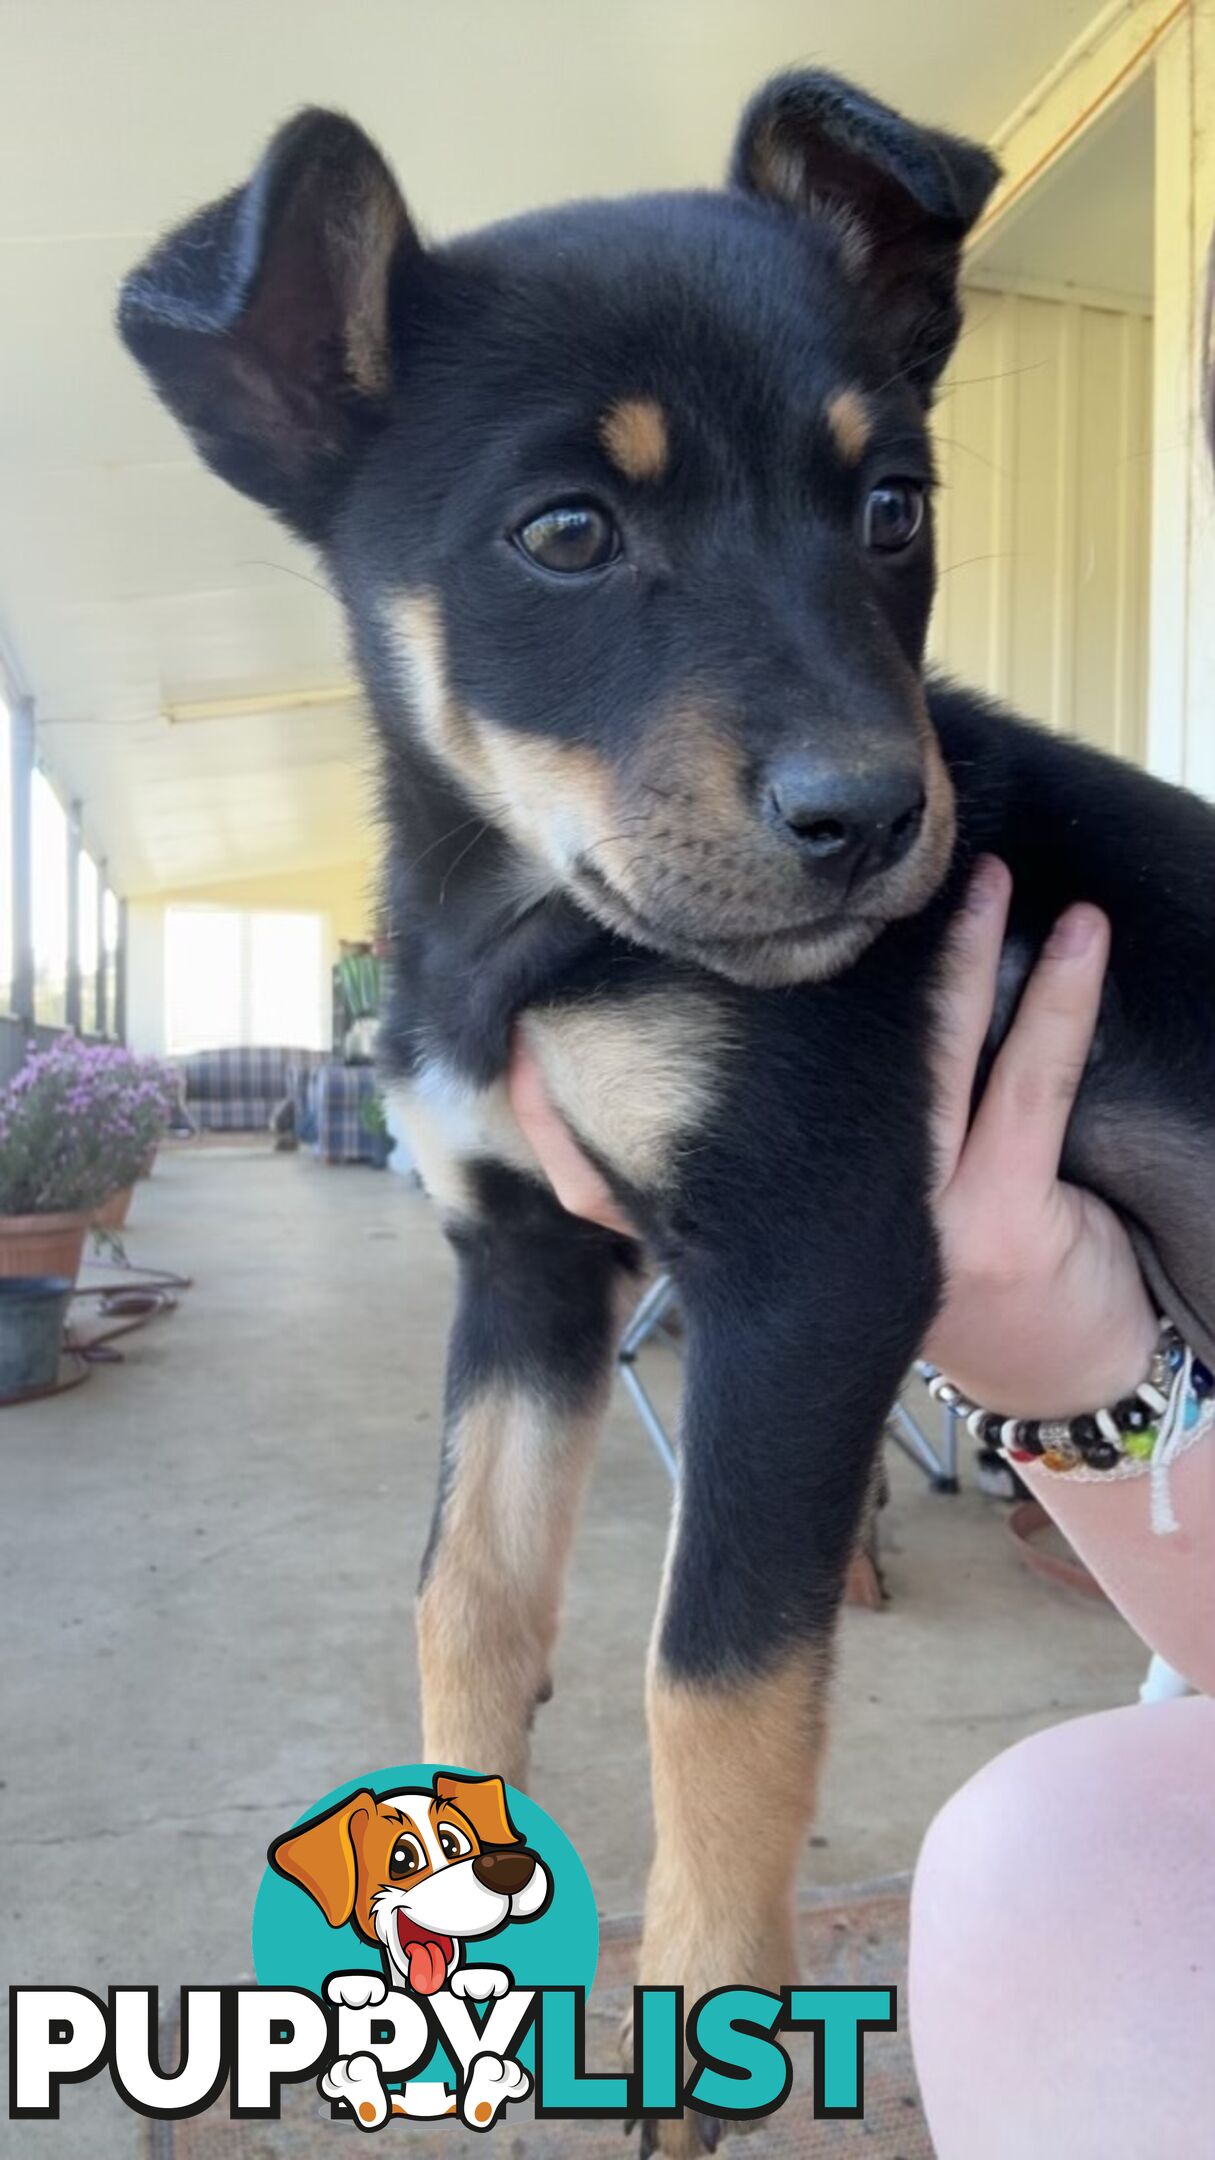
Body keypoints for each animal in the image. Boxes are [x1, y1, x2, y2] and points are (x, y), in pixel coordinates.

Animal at [120, 71, 1210, 2160]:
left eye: (893, 509)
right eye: (567, 531)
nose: (879, 823)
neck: (533, 922)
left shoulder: (811, 1260)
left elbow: (709, 1670)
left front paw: (699, 2023)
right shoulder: (529, 1266)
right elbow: (465, 1589)